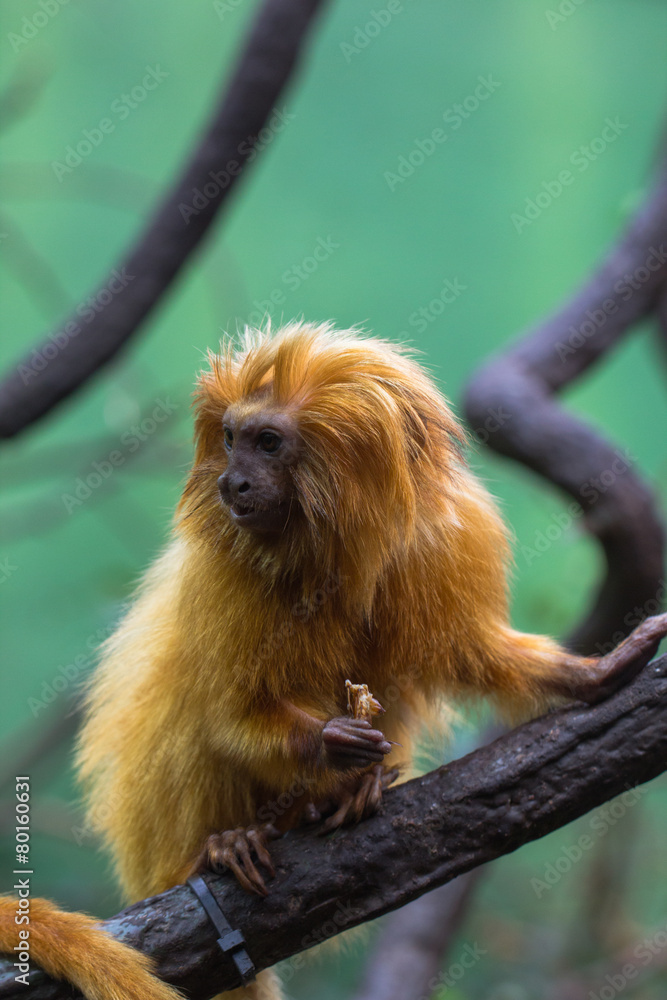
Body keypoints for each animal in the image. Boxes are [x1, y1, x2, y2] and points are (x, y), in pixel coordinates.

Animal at [1, 321, 666, 1000]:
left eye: (268, 443)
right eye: (231, 439)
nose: (232, 483)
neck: (335, 549)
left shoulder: (446, 540)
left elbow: (473, 652)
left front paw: (587, 676)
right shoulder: (225, 567)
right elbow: (228, 714)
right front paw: (331, 742)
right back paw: (232, 840)